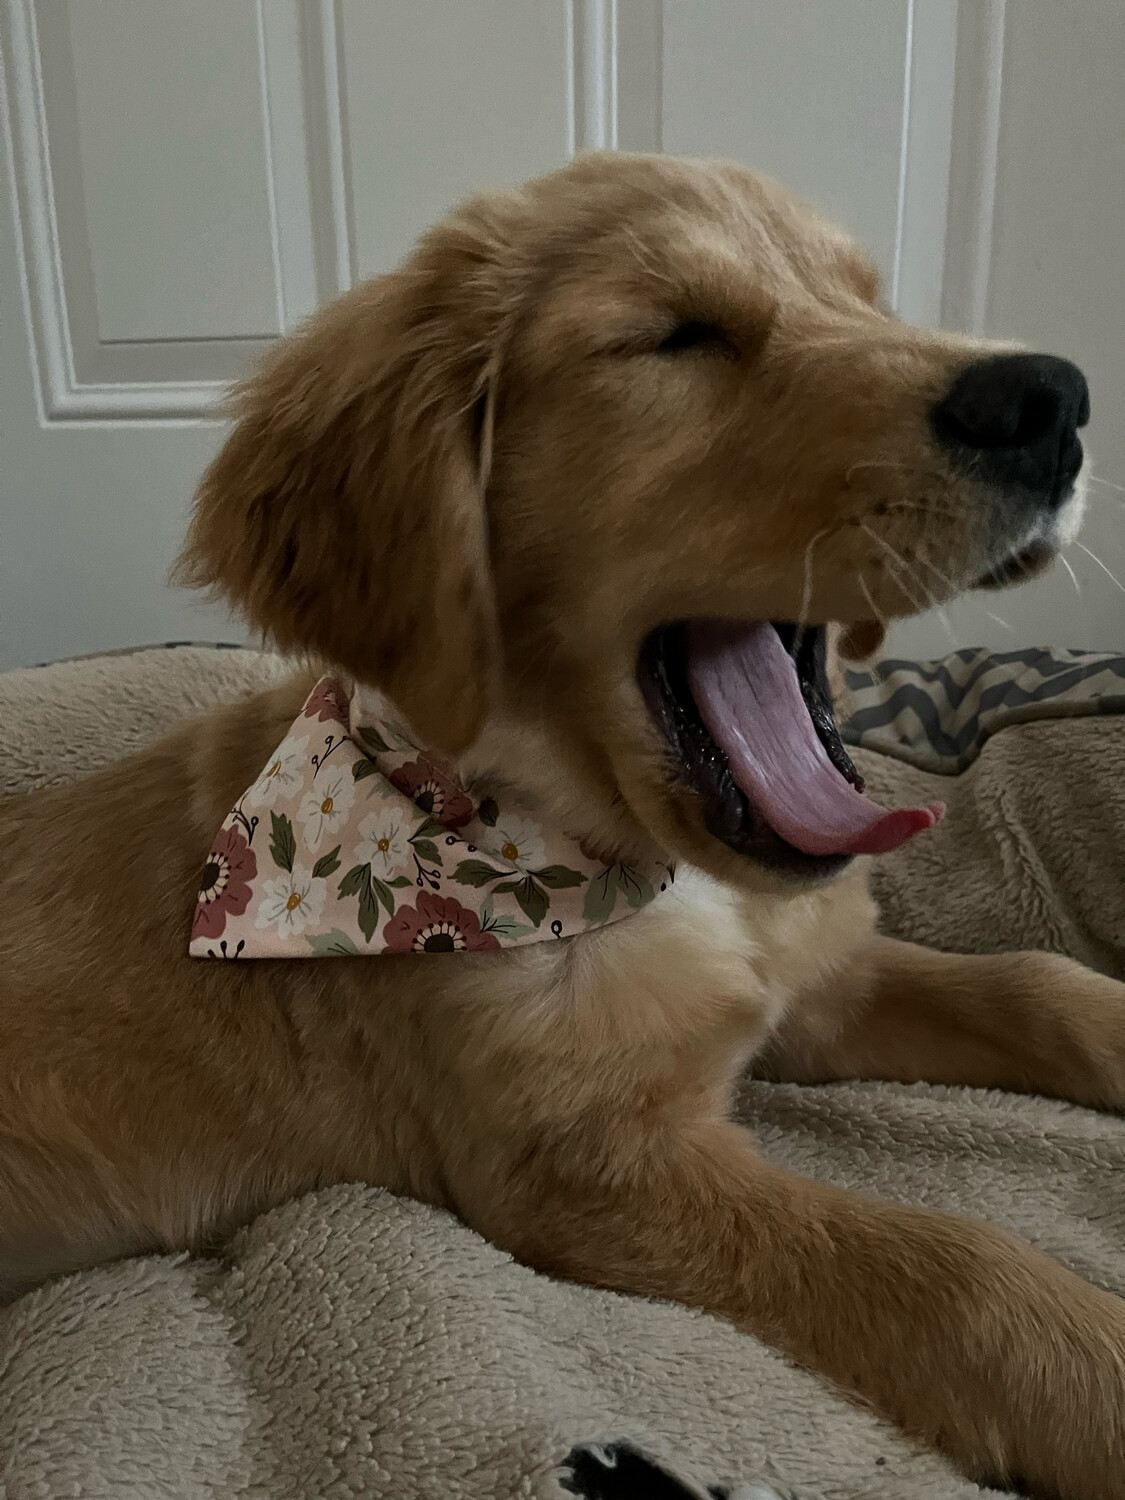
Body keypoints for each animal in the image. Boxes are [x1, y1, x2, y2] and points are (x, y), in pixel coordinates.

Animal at [2, 155, 1125, 1500]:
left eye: (869, 303)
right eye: (676, 335)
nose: (1051, 399)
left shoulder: (817, 988)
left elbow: (1039, 982)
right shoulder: (592, 1169)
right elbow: (952, 1269)